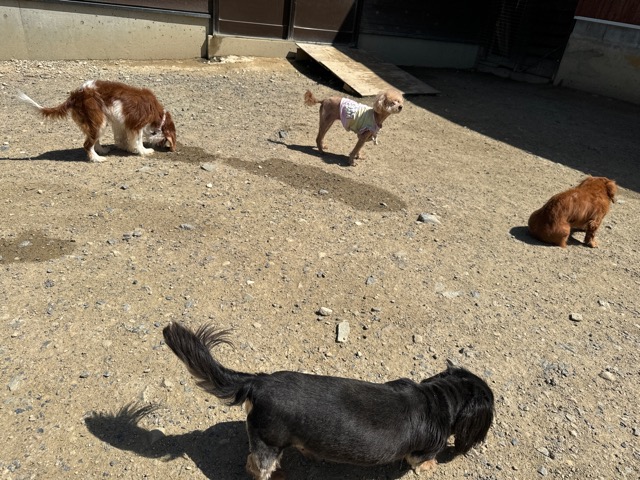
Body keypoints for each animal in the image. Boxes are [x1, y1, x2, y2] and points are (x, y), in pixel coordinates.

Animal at [18, 80, 176, 162]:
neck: (157, 115)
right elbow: (138, 140)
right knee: (87, 144)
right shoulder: (136, 124)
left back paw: (101, 150)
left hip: (98, 121)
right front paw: (143, 151)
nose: (165, 147)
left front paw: (128, 148)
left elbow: (123, 139)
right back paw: (96, 158)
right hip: (98, 119)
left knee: (94, 140)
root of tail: (75, 95)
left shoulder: (121, 123)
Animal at [163, 322, 494, 480]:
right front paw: (429, 468)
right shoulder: (422, 451)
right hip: (268, 442)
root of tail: (259, 381)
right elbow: (421, 461)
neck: (439, 397)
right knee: (256, 467)